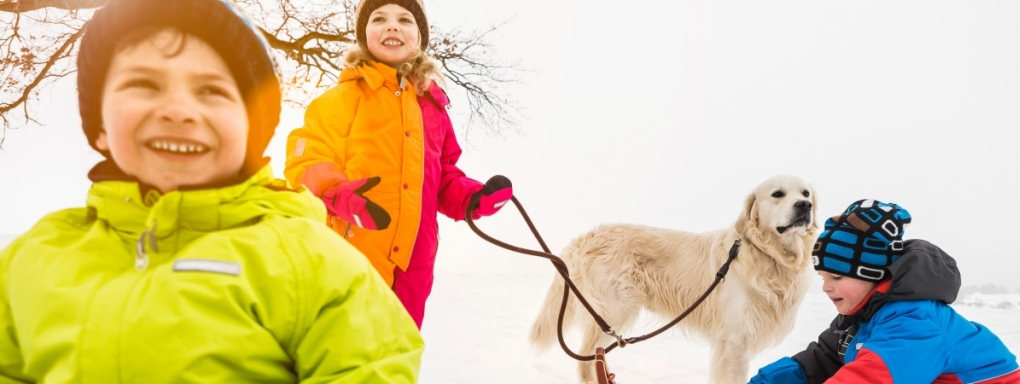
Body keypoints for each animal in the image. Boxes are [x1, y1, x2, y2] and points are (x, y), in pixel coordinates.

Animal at [530, 174, 816, 384]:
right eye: (778, 194)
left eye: (805, 193)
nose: (805, 206)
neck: (771, 257)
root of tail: (586, 237)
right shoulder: (735, 342)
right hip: (614, 310)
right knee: (586, 363)